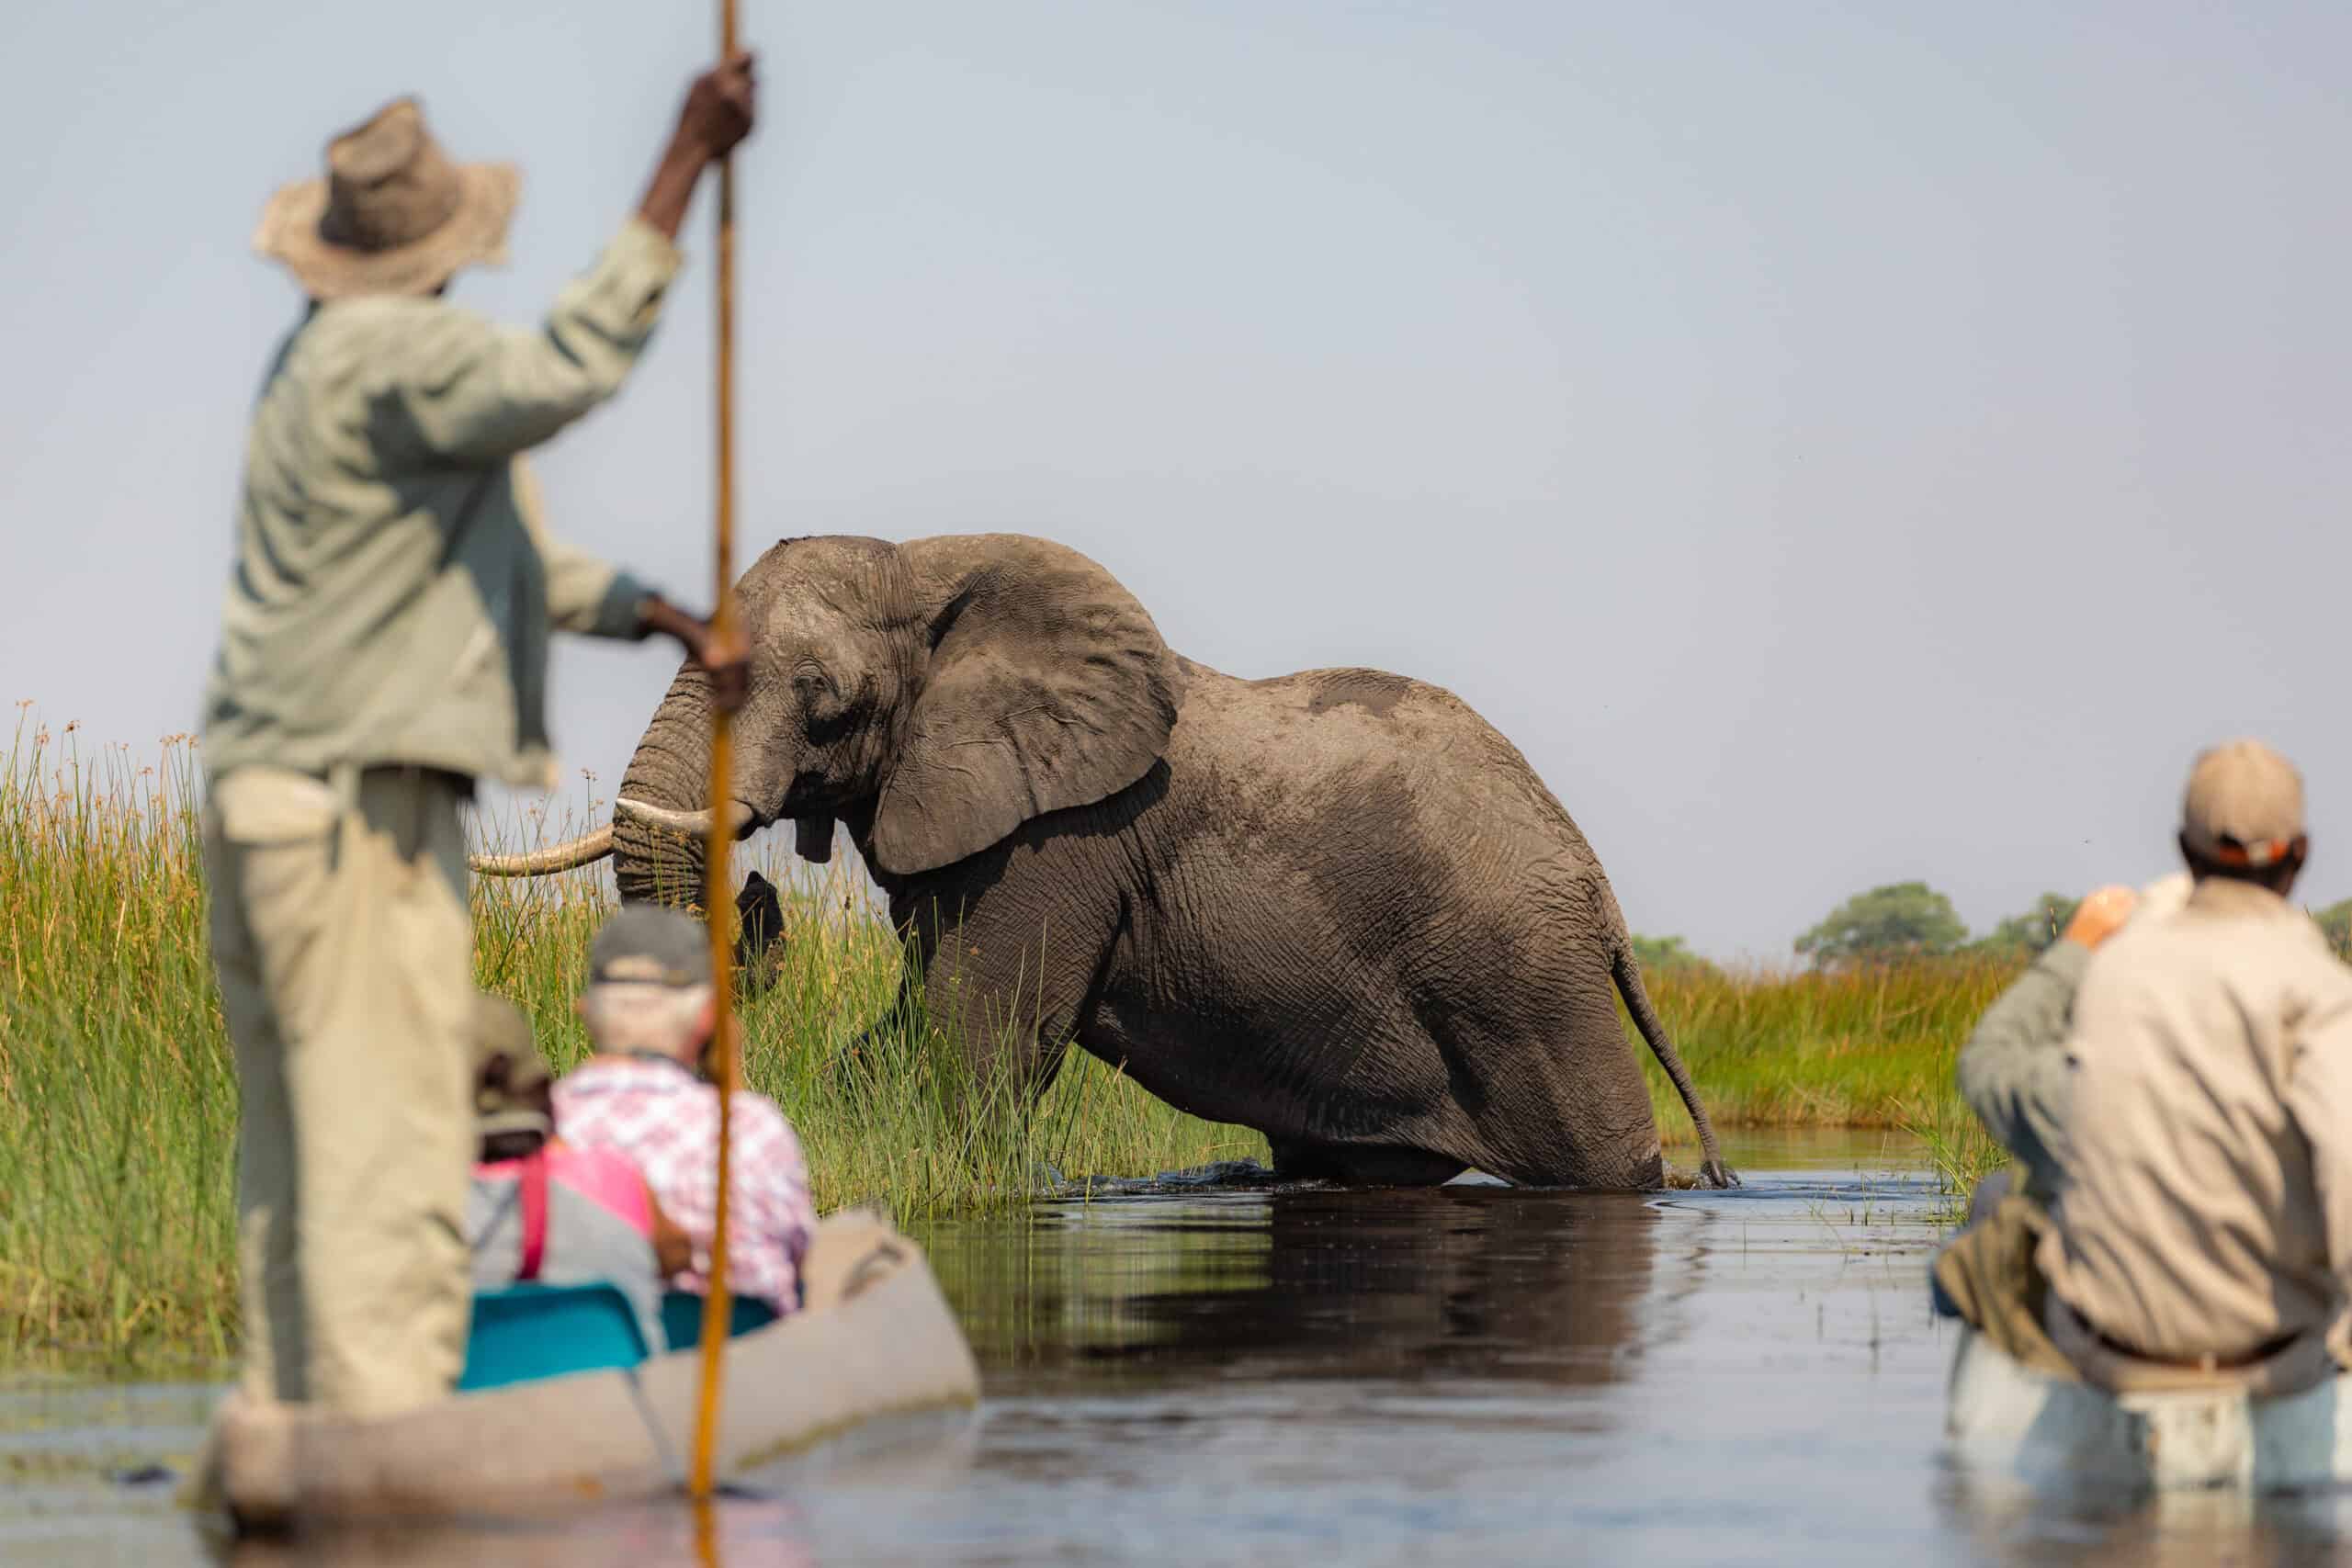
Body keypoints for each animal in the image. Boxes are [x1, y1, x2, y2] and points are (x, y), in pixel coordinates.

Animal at [472, 536, 1731, 1189]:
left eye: (823, 700)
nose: (759, 888)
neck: (930, 564)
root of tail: (1601, 897)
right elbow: (904, 1032)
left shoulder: (1056, 843)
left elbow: (976, 1041)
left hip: (1524, 984)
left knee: (1601, 1161)